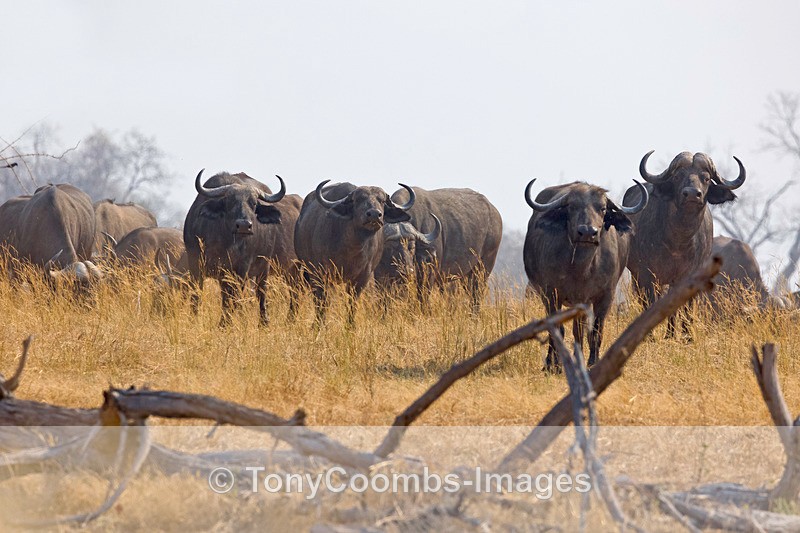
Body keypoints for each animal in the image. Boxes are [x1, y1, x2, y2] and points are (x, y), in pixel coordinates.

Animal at [184, 170, 301, 326]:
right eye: (230, 202)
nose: (244, 225)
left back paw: (266, 322)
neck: (225, 241)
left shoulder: (242, 267)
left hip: (272, 267)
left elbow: (234, 297)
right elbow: (197, 294)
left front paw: (226, 323)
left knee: (265, 293)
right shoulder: (196, 264)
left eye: (254, 203)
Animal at [294, 181, 415, 322]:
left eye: (382, 200)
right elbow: (322, 302)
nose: (374, 214)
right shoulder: (320, 273)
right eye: (358, 200)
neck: (352, 249)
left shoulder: (362, 277)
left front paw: (351, 324)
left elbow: (352, 302)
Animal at [524, 179, 648, 370]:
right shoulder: (551, 294)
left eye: (603, 208)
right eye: (572, 206)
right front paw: (554, 365)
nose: (588, 232)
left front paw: (592, 362)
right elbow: (557, 330)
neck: (582, 269)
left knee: (581, 330)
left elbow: (595, 331)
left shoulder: (605, 296)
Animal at [624, 151, 745, 338]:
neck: (678, 242)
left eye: (706, 178)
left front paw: (681, 335)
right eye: (677, 176)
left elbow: (684, 306)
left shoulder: (689, 276)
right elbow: (649, 303)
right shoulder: (646, 275)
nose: (692, 194)